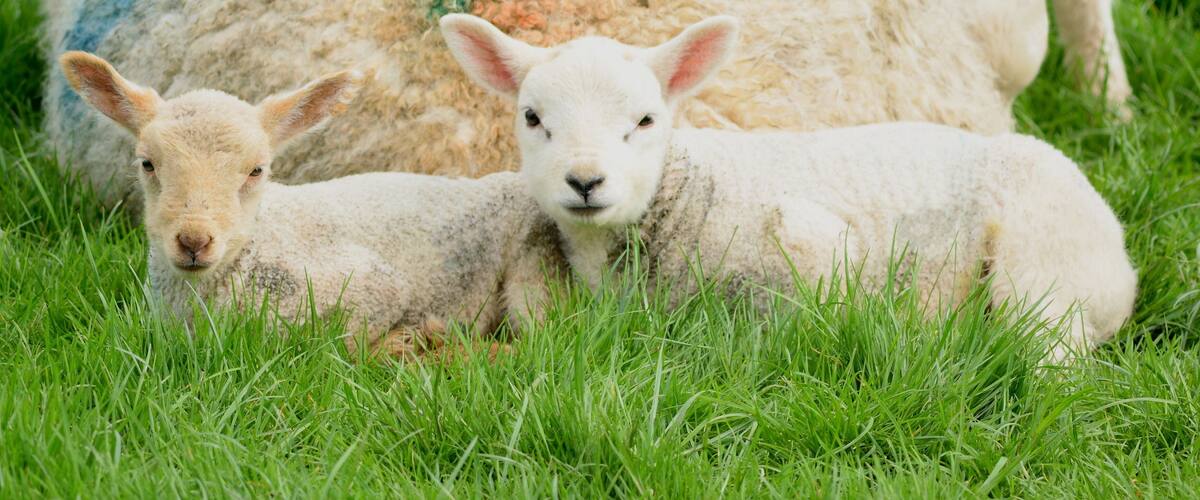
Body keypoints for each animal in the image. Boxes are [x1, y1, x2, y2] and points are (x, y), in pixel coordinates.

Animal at [58, 51, 566, 359]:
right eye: (147, 163)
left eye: (257, 170)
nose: (194, 240)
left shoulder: (376, 287)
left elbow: (344, 344)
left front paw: (405, 343)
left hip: (535, 266)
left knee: (541, 343)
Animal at [440, 14, 1138, 363]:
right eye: (532, 118)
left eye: (645, 120)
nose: (586, 181)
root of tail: (1121, 259)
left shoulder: (820, 247)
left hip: (1046, 270)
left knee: (1053, 355)